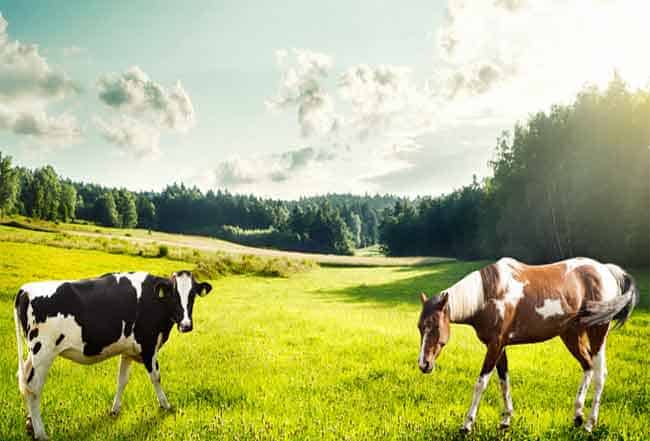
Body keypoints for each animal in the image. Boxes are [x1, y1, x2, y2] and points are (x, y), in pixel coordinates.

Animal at [13, 270, 213, 438]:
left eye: (192, 295)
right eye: (174, 294)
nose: (186, 325)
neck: (154, 300)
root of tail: (26, 289)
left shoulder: (127, 350)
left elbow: (122, 380)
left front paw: (115, 410)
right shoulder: (148, 346)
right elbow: (156, 376)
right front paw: (166, 406)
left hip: (33, 355)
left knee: (24, 381)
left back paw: (30, 425)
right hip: (43, 352)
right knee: (34, 388)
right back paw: (40, 433)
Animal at [416, 256, 636, 432]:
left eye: (434, 326)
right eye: (420, 327)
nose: (424, 364)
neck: (488, 294)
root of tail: (605, 270)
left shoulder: (495, 345)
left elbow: (481, 383)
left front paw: (467, 424)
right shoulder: (500, 346)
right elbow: (504, 381)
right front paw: (506, 420)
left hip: (598, 332)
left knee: (600, 374)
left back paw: (590, 423)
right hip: (572, 335)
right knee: (588, 367)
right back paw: (578, 416)